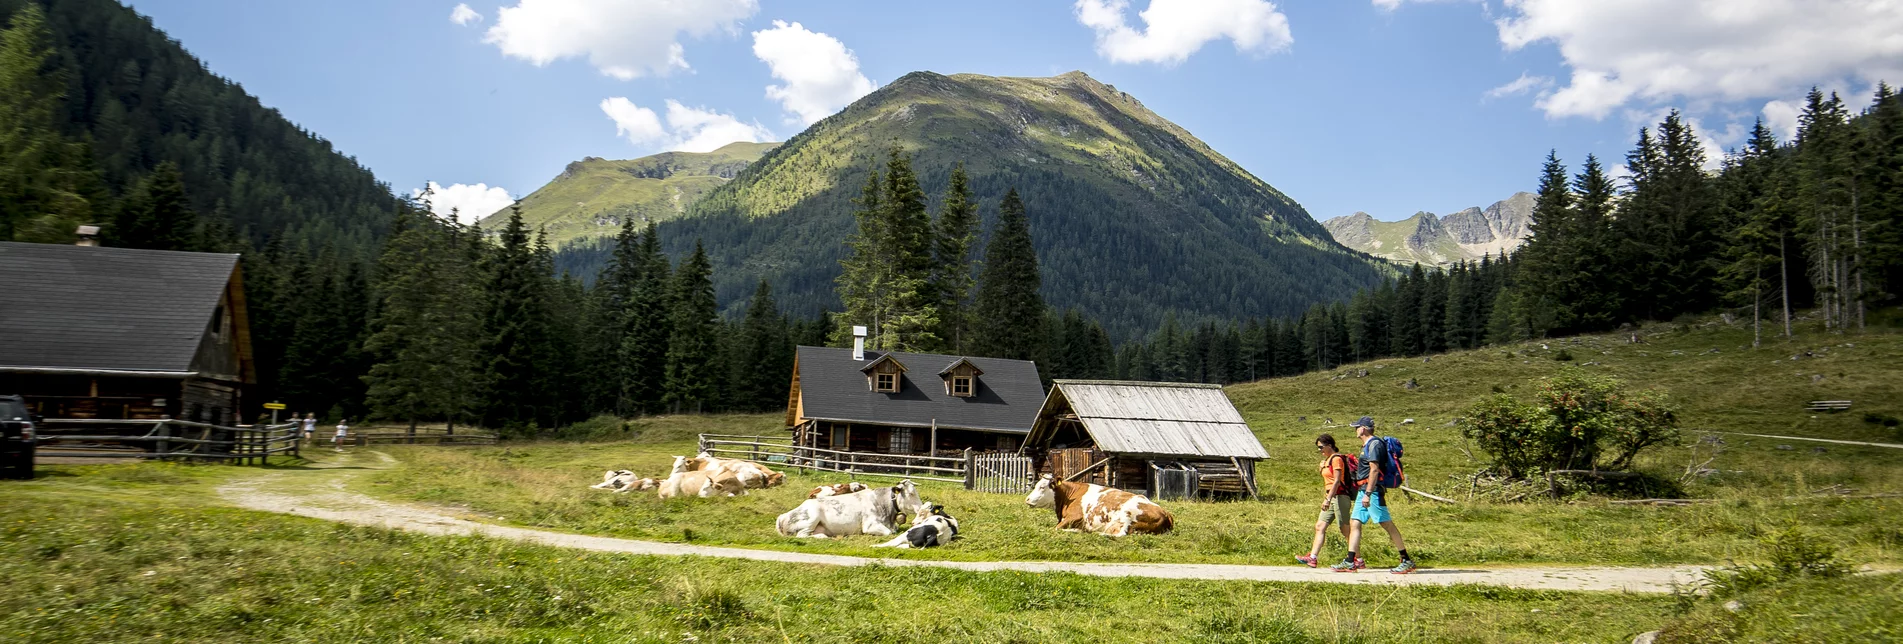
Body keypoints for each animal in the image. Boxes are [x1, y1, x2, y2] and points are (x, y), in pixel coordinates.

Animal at [772, 478, 921, 537]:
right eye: (911, 493)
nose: (920, 508)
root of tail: (782, 516)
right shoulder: (870, 525)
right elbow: (889, 532)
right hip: (811, 518)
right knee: (802, 535)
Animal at [1027, 472, 1172, 537]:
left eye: (1042, 487)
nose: (1027, 499)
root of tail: (1166, 512)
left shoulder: (1075, 516)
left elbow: (1056, 528)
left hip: (1127, 514)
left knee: (1120, 534)